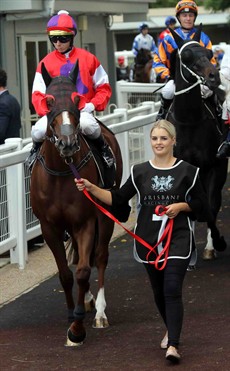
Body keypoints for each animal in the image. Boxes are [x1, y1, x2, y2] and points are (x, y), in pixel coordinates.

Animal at [31, 61, 123, 346]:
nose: (68, 143)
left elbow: (83, 271)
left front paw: (78, 328)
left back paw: (100, 311)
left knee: (101, 257)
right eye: (48, 101)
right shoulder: (49, 226)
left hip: (105, 214)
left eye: (77, 99)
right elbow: (65, 274)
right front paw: (73, 314)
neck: (63, 172)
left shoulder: (85, 222)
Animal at [167, 26, 228, 262]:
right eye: (186, 56)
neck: (190, 122)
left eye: (209, 53)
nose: (214, 76)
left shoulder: (215, 167)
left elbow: (210, 207)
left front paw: (217, 243)